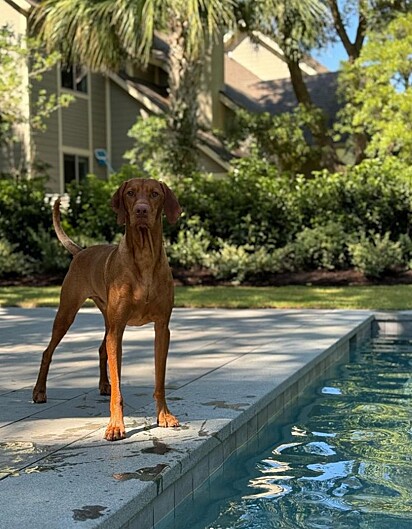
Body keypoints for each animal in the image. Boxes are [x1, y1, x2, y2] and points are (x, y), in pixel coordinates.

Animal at [34, 175, 183, 440]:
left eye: (155, 194)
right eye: (131, 193)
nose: (141, 210)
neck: (144, 258)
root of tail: (81, 251)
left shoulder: (162, 328)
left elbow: (159, 380)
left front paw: (164, 415)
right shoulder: (119, 328)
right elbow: (119, 390)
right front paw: (115, 425)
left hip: (107, 320)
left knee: (102, 348)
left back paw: (104, 384)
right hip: (67, 313)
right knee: (47, 352)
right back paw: (39, 391)